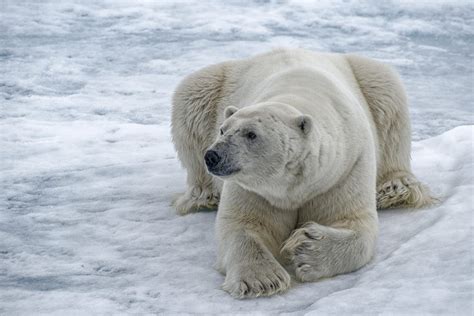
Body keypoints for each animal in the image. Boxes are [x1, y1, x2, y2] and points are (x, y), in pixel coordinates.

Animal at [170, 48, 434, 298]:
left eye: (251, 134)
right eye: (223, 130)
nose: (213, 156)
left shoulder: (344, 168)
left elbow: (355, 223)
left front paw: (306, 249)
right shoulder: (254, 188)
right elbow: (243, 224)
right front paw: (262, 280)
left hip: (366, 76)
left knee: (389, 99)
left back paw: (396, 189)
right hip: (217, 81)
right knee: (190, 98)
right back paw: (202, 195)